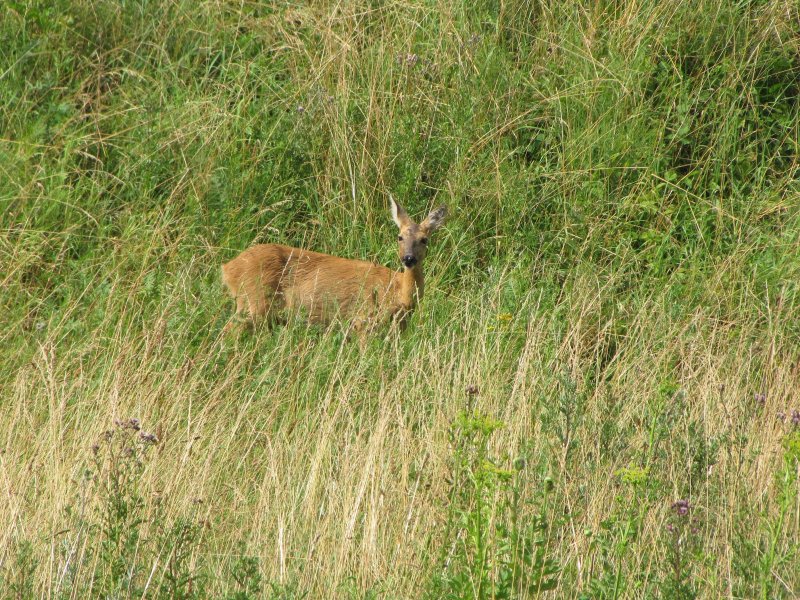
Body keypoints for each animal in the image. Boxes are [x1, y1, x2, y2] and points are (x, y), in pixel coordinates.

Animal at [222, 197, 446, 338]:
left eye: (424, 239)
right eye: (399, 237)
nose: (408, 258)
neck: (399, 293)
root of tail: (227, 268)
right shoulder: (363, 320)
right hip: (253, 300)